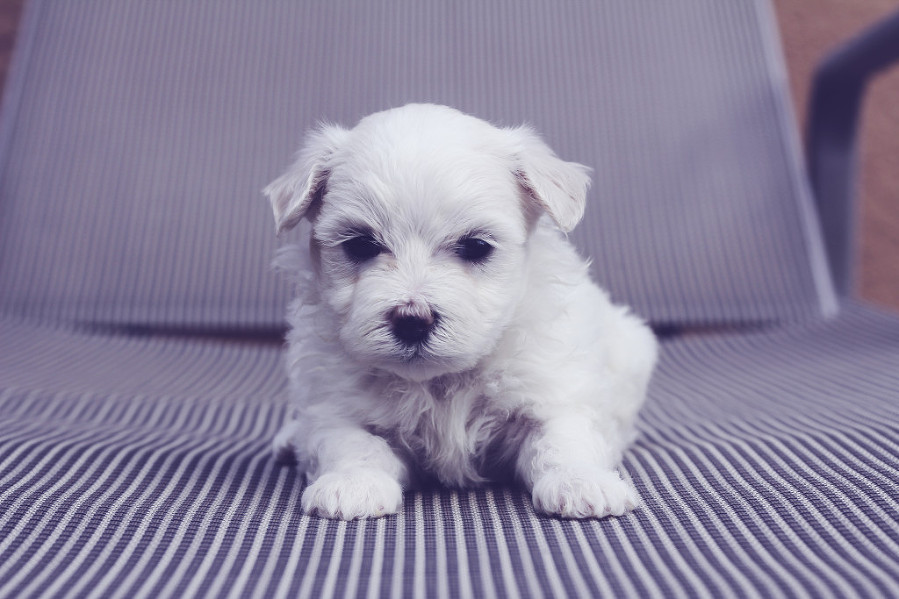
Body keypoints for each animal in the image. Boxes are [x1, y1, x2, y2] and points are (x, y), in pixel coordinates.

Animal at [264, 103, 656, 520]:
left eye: (475, 247)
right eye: (361, 245)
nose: (413, 320)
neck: (442, 382)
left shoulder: (553, 391)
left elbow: (562, 438)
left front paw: (581, 481)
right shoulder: (335, 404)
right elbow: (352, 442)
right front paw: (353, 483)